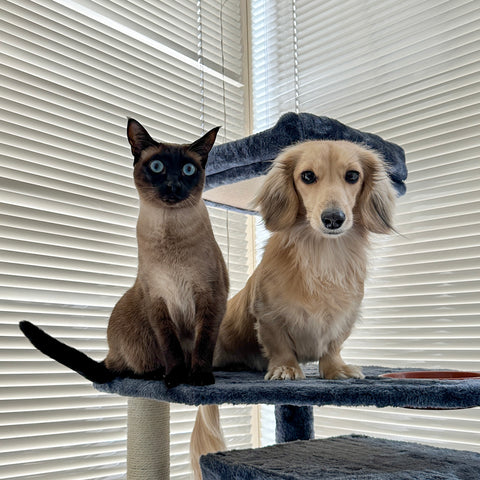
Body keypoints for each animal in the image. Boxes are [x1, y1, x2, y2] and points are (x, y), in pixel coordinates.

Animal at [19, 118, 229, 388]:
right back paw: (159, 375)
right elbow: (170, 348)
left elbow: (203, 345)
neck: (168, 232)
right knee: (124, 369)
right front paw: (175, 380)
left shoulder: (210, 297)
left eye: (188, 170)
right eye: (157, 167)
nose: (173, 185)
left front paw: (199, 379)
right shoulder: (157, 300)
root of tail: (110, 352)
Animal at [189, 140, 396, 480]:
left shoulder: (344, 320)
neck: (323, 255)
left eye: (353, 176)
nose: (333, 218)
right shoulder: (269, 316)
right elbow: (279, 345)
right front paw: (286, 369)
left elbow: (333, 346)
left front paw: (336, 370)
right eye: (307, 176)